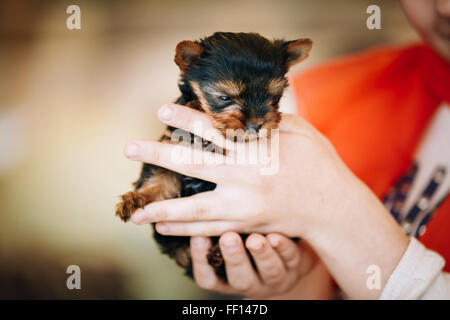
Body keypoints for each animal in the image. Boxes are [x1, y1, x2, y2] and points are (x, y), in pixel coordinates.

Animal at [116, 32, 312, 282]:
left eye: (274, 96)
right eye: (225, 97)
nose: (255, 126)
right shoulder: (171, 147)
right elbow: (159, 178)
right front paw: (136, 198)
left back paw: (220, 256)